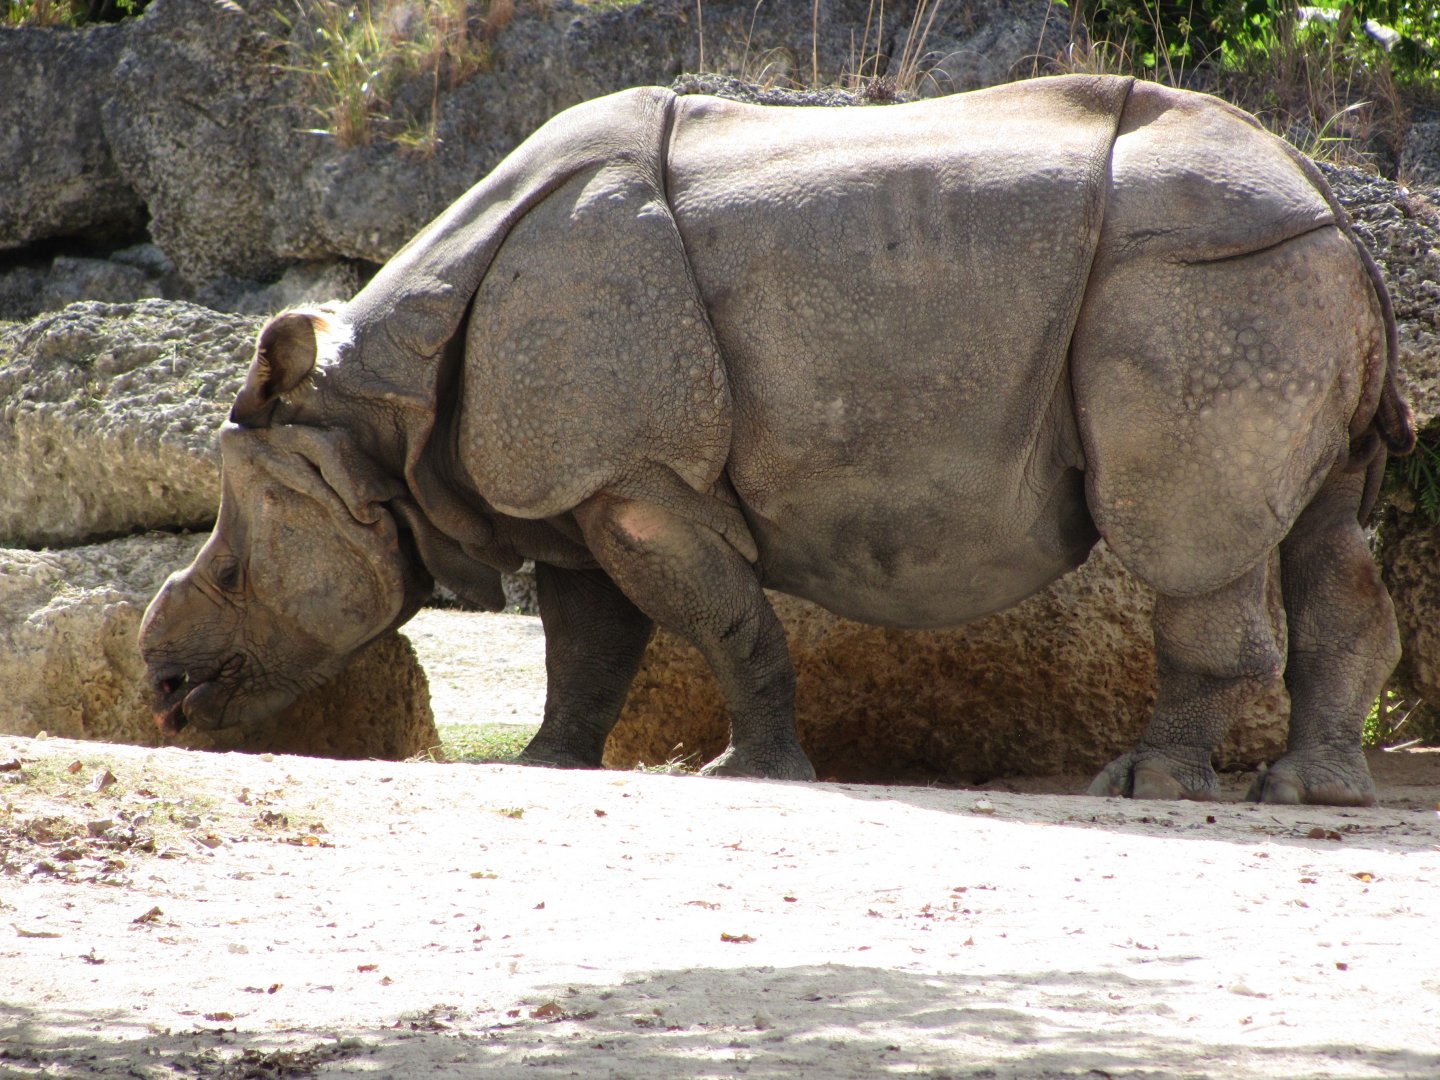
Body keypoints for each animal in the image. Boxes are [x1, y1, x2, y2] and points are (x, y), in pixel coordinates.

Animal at [140, 74, 1414, 805]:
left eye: (233, 573)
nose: (160, 691)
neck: (379, 415)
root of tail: (1332, 201)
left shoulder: (633, 476)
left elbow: (719, 619)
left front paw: (743, 774)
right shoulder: (578, 482)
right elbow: (586, 643)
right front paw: (548, 766)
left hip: (1197, 284)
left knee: (1183, 534)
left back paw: (1143, 790)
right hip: (1270, 280)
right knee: (1323, 528)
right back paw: (1314, 797)